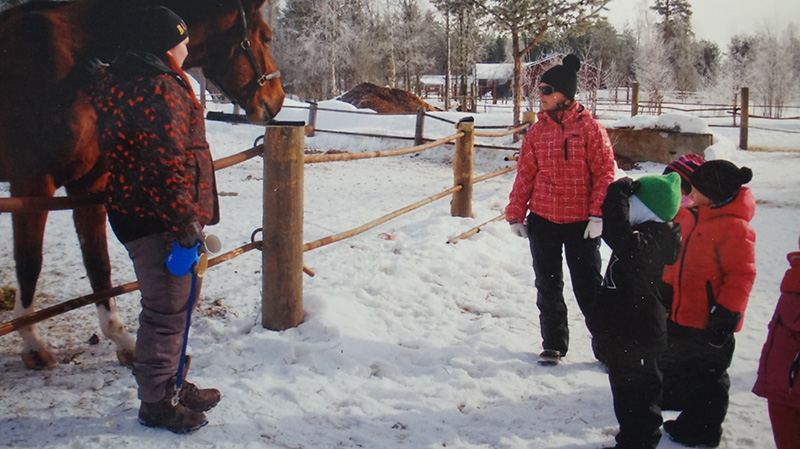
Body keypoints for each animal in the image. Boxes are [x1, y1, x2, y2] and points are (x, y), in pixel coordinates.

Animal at [0, 0, 286, 368]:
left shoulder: (89, 185)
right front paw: (32, 344)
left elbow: (98, 263)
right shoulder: (32, 183)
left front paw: (121, 339)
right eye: (266, 37)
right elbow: (29, 260)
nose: (277, 101)